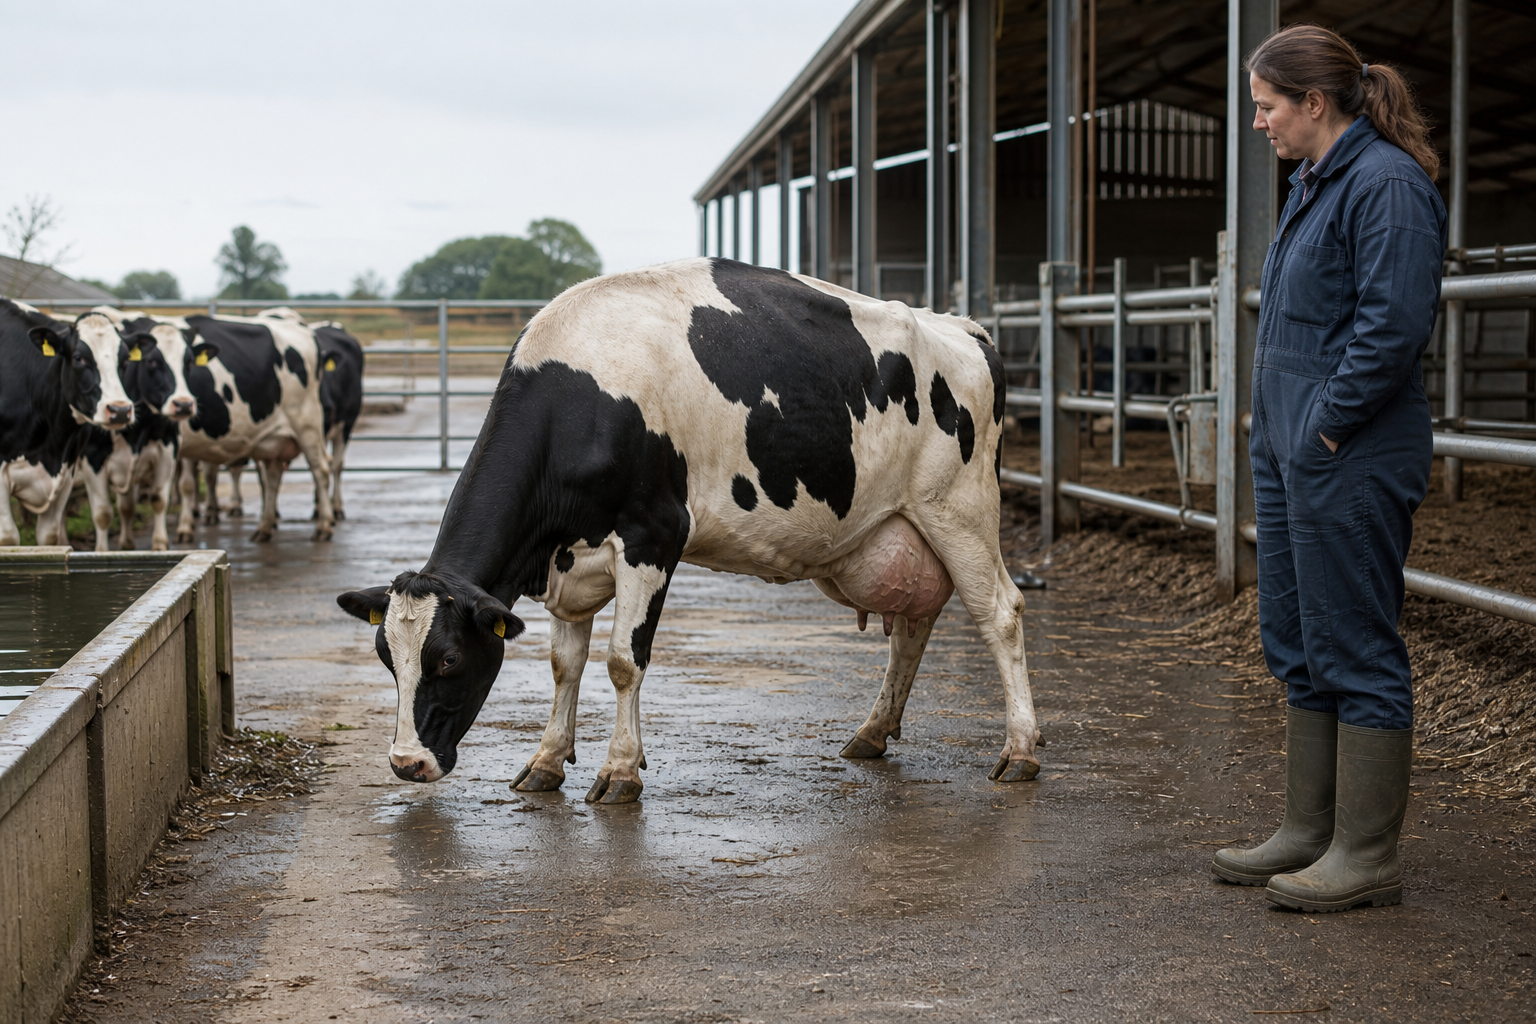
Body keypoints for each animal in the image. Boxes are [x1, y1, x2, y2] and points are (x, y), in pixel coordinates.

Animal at [0, 301, 138, 546]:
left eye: (123, 361)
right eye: (78, 358)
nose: (120, 410)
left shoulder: (66, 471)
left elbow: (49, 537)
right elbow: (8, 537)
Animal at [337, 258, 1039, 805]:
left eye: (449, 658)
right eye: (386, 658)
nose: (407, 763)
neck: (582, 397)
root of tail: (960, 326)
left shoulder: (653, 535)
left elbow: (624, 661)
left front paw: (621, 771)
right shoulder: (569, 563)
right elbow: (566, 664)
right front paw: (546, 761)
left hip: (958, 508)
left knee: (999, 612)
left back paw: (1020, 750)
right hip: (904, 528)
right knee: (914, 624)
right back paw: (872, 732)